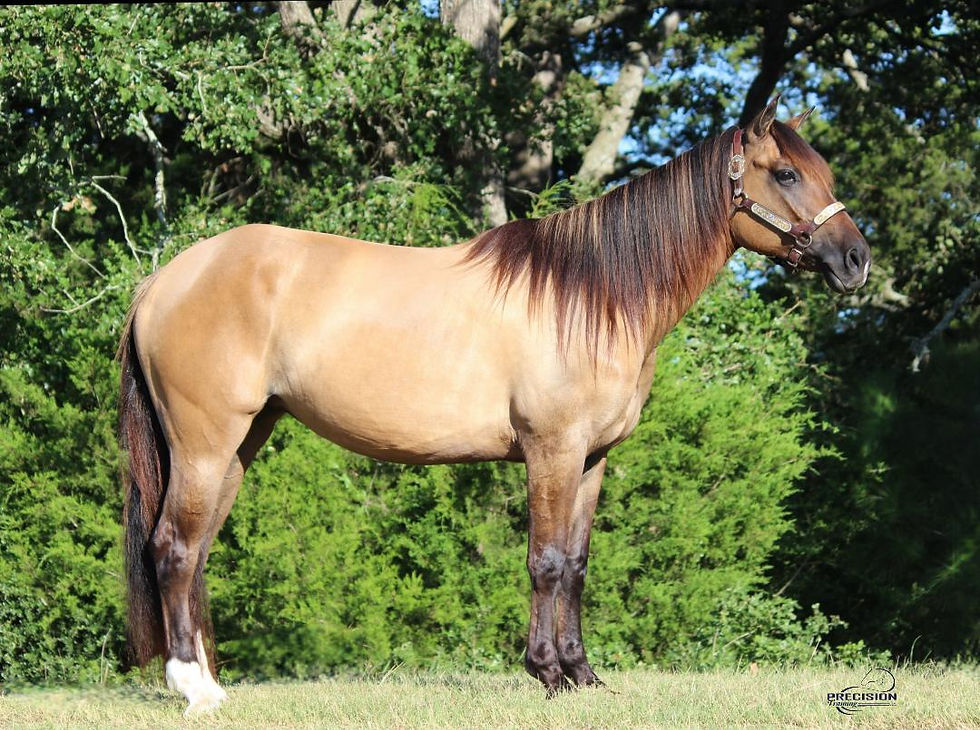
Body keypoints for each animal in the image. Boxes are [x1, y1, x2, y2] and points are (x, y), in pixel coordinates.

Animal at [118, 97, 870, 714]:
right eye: (787, 175)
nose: (856, 261)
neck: (592, 296)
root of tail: (165, 279)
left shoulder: (590, 459)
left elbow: (577, 565)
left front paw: (583, 675)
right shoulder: (552, 450)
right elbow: (547, 561)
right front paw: (548, 674)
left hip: (237, 446)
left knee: (196, 551)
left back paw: (209, 682)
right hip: (205, 445)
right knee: (175, 548)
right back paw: (192, 690)